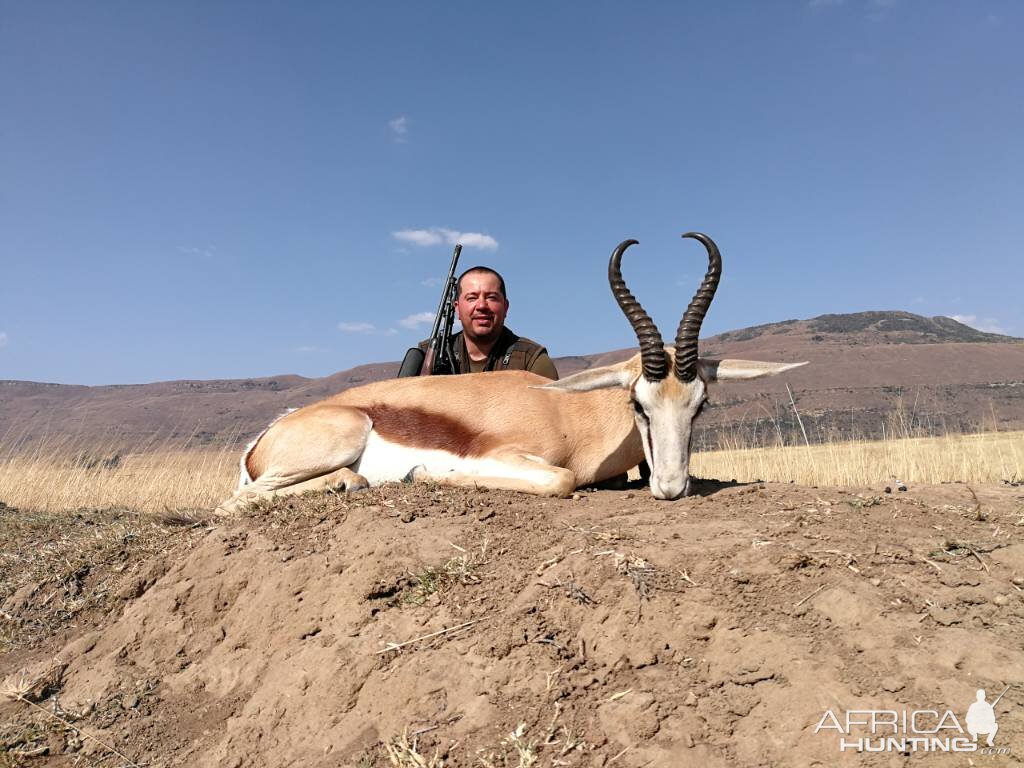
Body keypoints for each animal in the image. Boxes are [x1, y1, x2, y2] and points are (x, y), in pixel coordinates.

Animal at [218, 231, 806, 514]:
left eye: (700, 404)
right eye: (638, 403)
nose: (670, 487)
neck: (568, 412)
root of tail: (261, 439)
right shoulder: (514, 458)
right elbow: (561, 480)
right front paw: (422, 474)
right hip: (344, 433)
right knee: (235, 502)